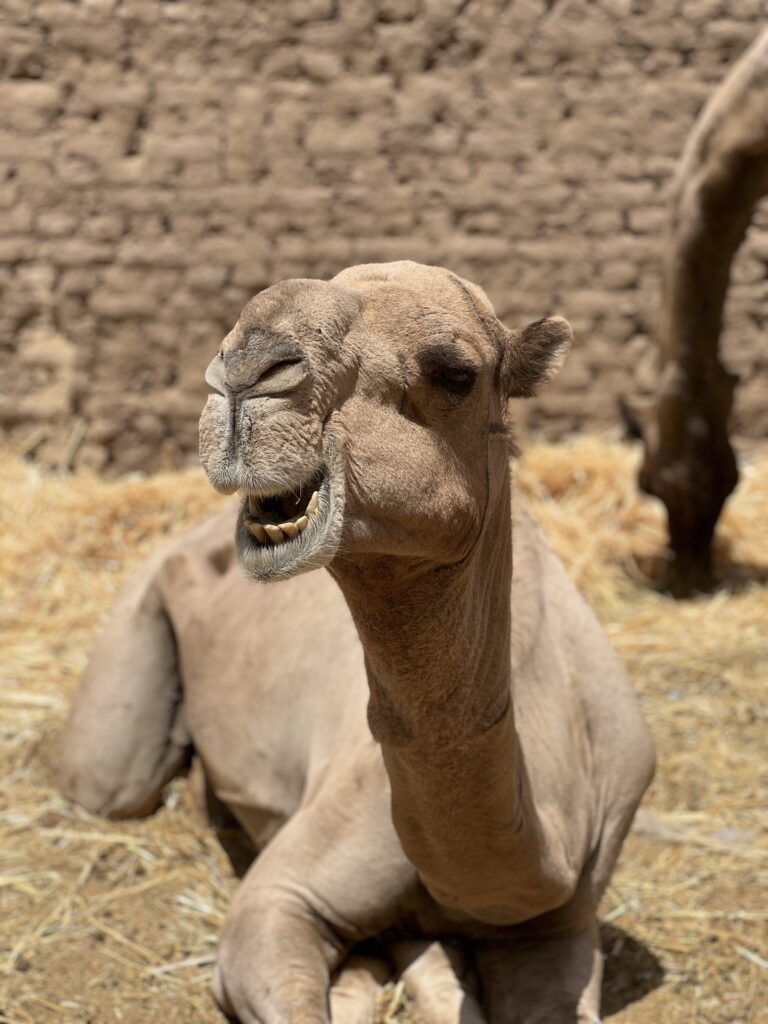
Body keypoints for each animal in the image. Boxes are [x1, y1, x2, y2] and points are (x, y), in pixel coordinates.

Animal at [63, 260, 659, 1019]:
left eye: (455, 372)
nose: (242, 372)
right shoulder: (280, 899)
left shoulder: (564, 919)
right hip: (128, 663)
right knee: (111, 781)